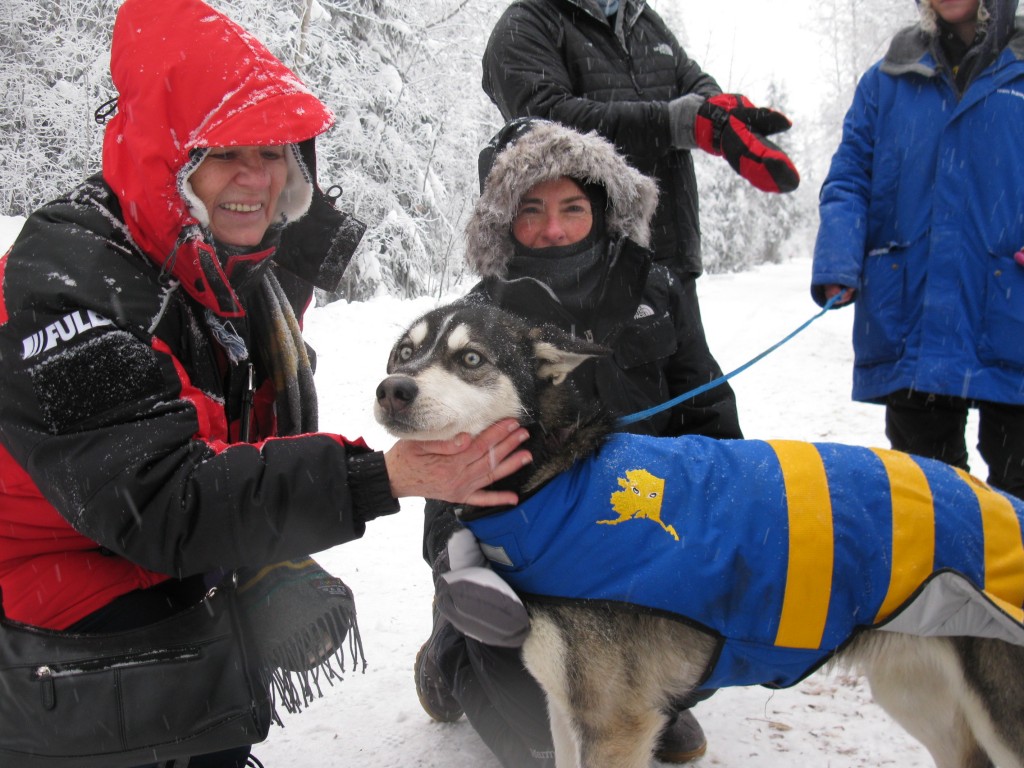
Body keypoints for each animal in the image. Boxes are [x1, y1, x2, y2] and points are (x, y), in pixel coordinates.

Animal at [374, 299, 1024, 768]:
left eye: (471, 359)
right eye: (404, 353)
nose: (392, 388)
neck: (555, 487)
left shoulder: (614, 722)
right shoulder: (565, 707)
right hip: (918, 693)